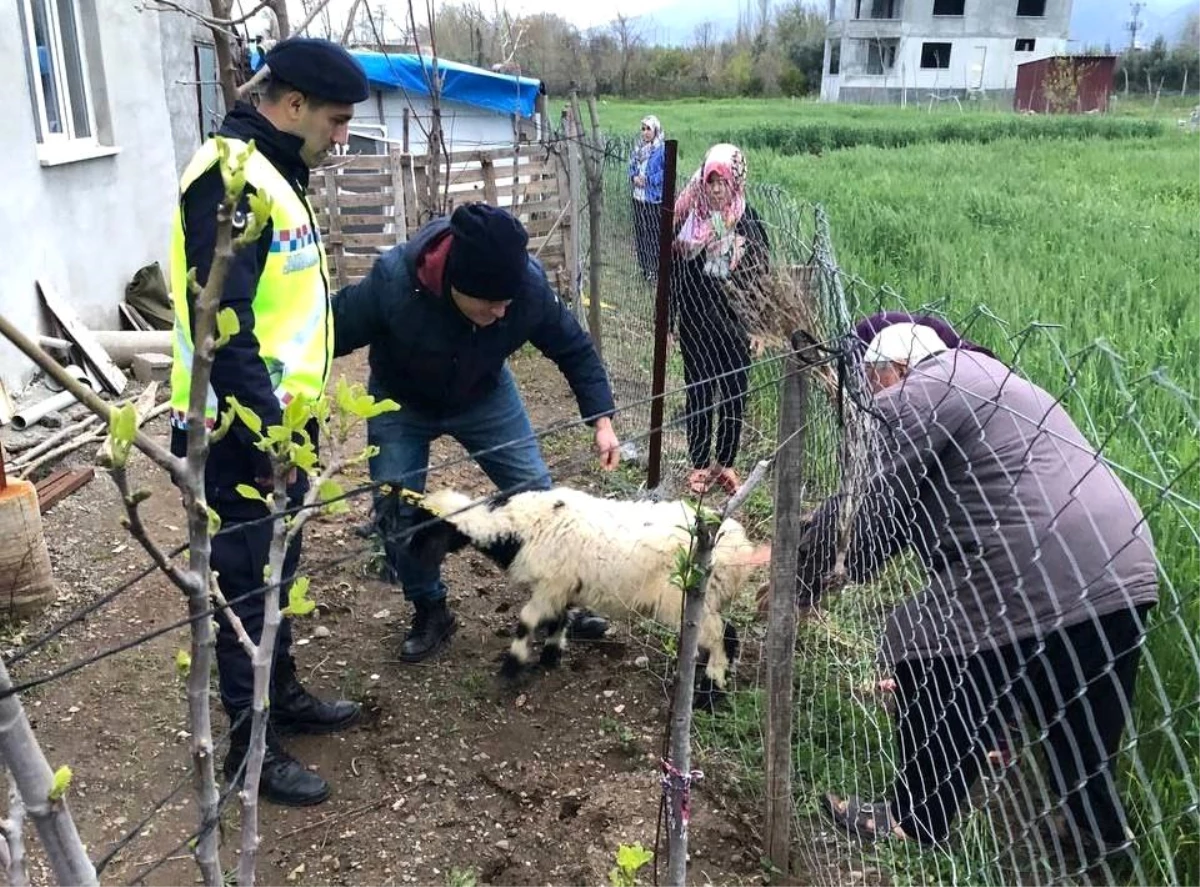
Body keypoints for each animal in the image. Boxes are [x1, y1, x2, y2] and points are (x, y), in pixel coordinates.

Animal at [408, 484, 768, 700]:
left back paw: (710, 691)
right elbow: (557, 619)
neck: (519, 528)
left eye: (427, 529)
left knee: (720, 637)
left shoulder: (551, 584)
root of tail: (742, 549)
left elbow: (527, 621)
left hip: (684, 597)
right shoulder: (562, 585)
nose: (407, 559)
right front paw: (550, 657)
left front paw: (512, 667)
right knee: (724, 634)